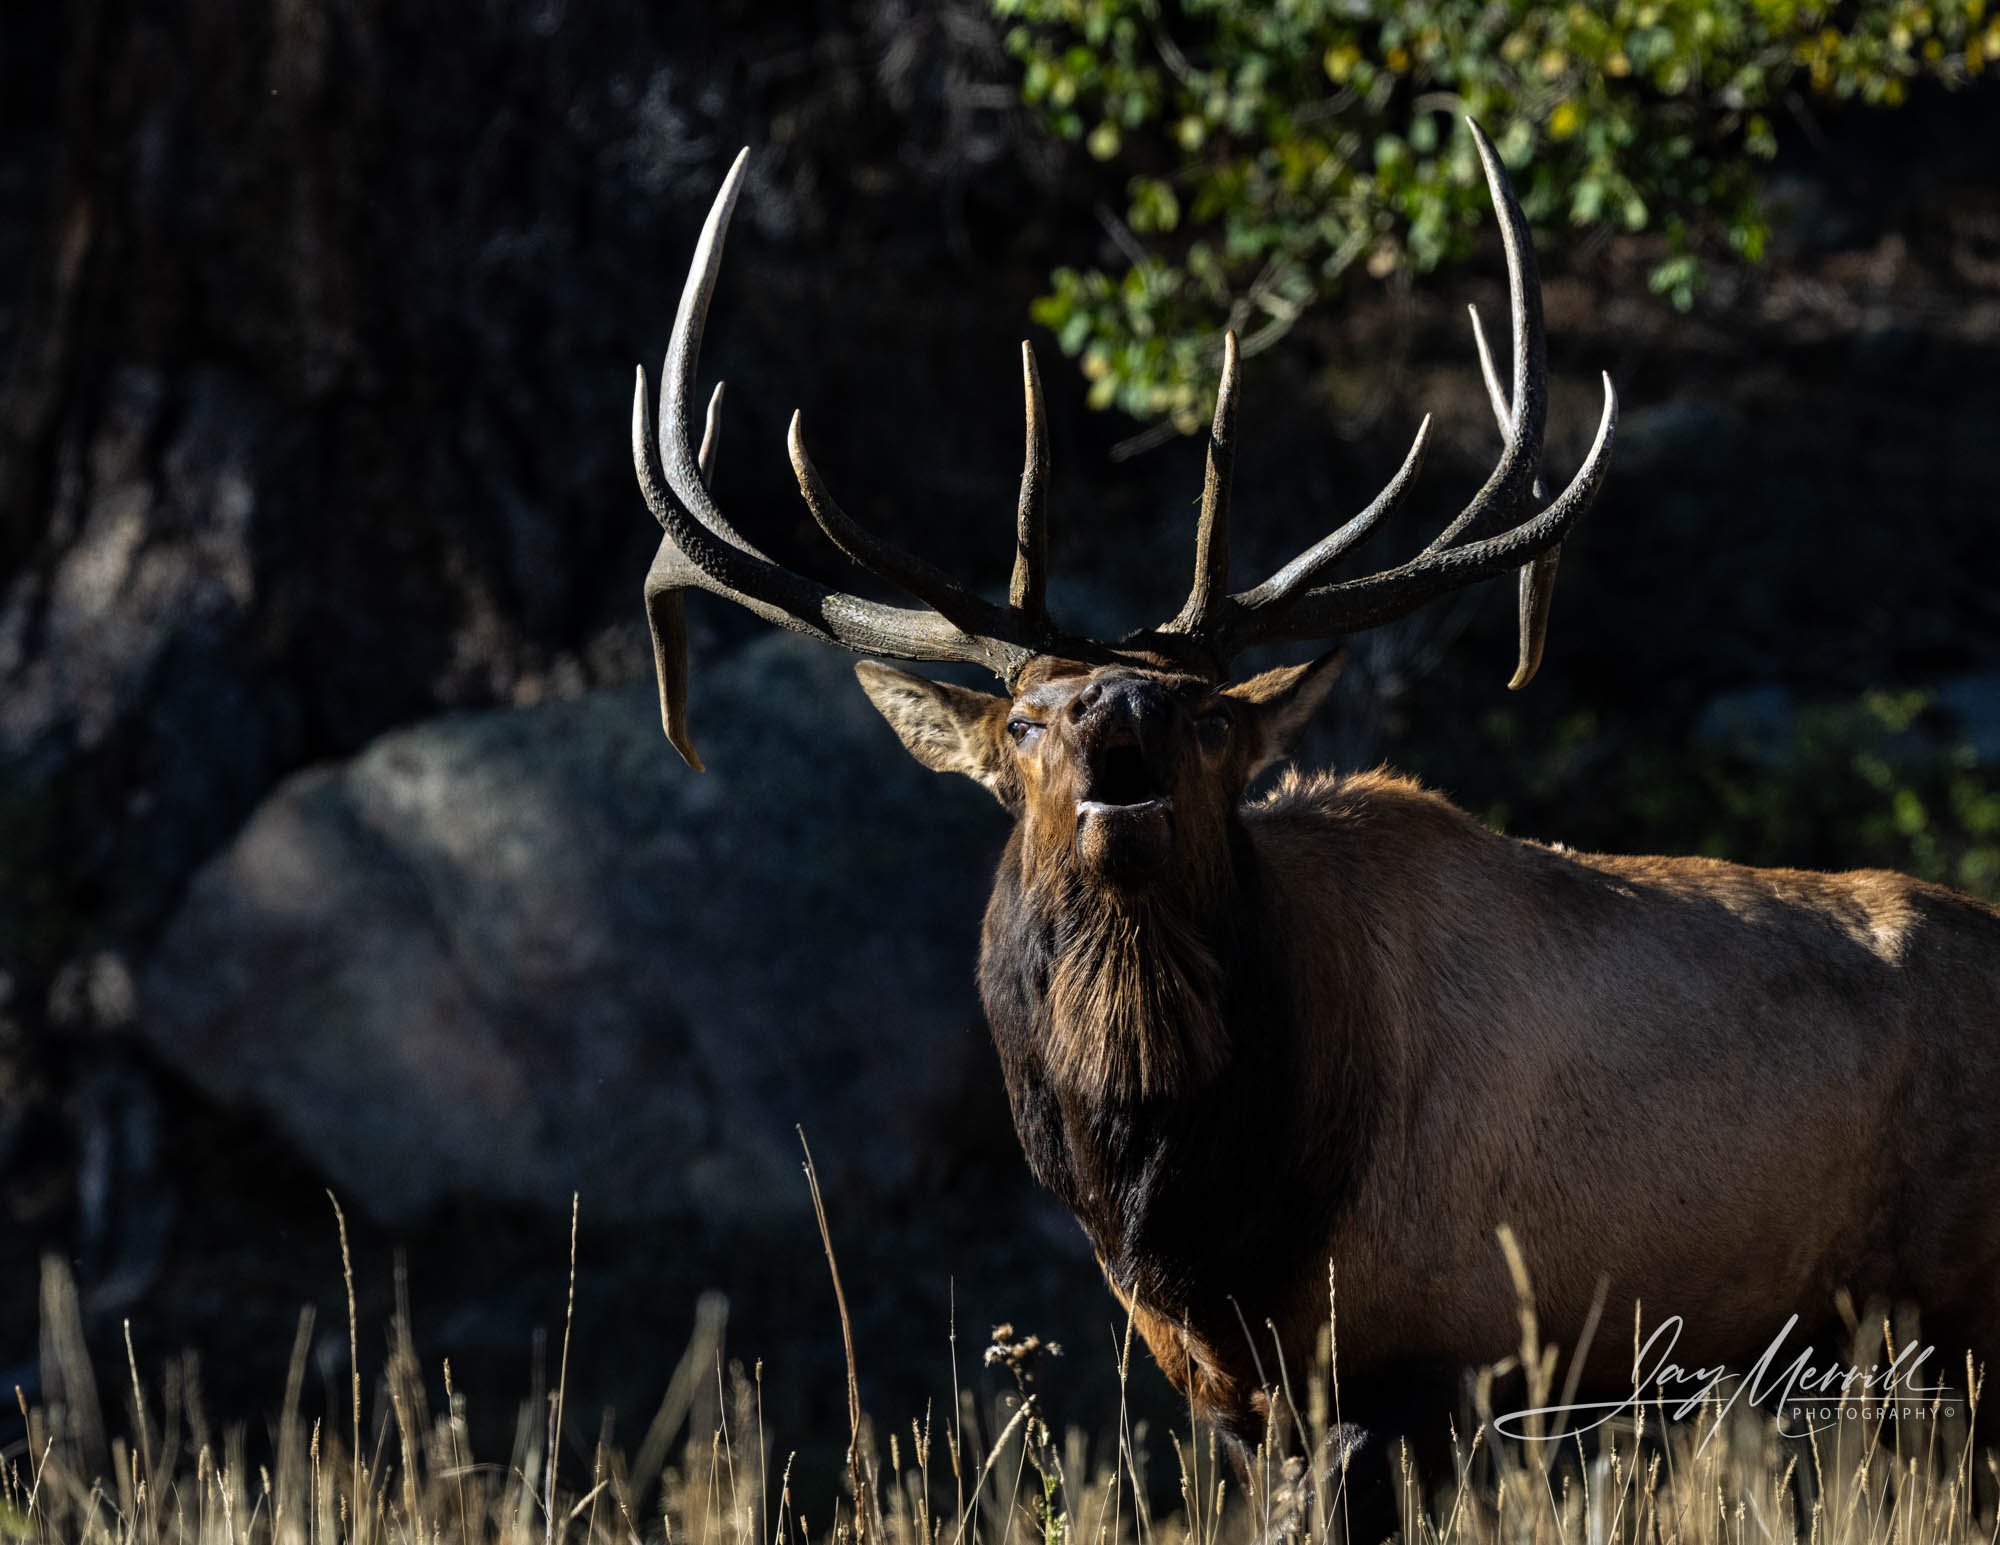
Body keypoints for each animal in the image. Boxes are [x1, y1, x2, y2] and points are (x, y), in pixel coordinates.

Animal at [627, 126, 2000, 1538]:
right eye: (1023, 719)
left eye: (1208, 715)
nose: (1119, 706)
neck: (1199, 1212)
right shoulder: (1234, 1402)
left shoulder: (1427, 1363)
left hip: (1952, 1315)